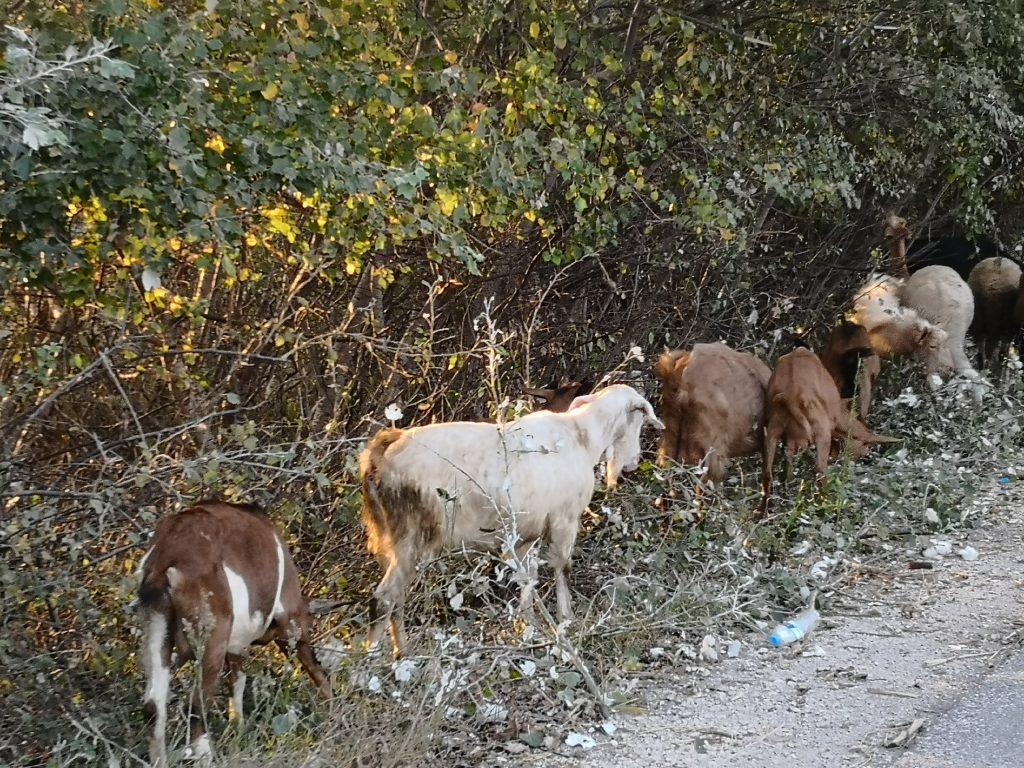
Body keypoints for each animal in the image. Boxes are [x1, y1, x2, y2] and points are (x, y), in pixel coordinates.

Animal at [138, 501, 329, 765]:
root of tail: (169, 558)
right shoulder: (289, 617)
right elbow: (312, 665)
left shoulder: (236, 644)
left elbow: (237, 680)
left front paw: (238, 728)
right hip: (212, 637)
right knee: (196, 705)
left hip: (157, 626)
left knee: (154, 707)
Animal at [360, 385, 663, 655]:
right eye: (640, 419)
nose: (634, 461)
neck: (582, 436)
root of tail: (384, 452)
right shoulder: (564, 520)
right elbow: (561, 568)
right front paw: (565, 619)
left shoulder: (528, 534)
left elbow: (528, 577)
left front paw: (529, 625)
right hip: (414, 535)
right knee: (383, 599)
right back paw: (377, 664)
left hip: (390, 538)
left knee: (395, 598)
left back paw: (401, 654)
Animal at [761, 348, 897, 518]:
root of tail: (790, 395)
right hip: (821, 431)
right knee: (820, 471)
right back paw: (826, 505)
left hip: (772, 431)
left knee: (768, 474)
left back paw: (766, 512)